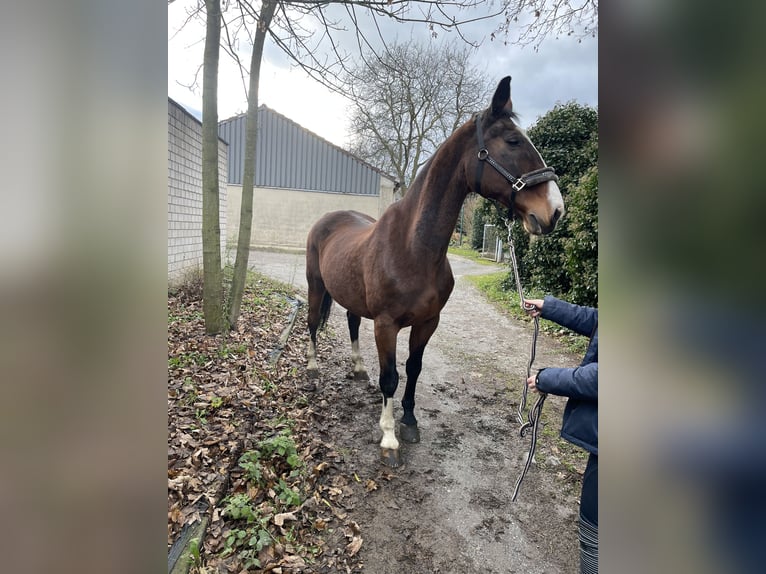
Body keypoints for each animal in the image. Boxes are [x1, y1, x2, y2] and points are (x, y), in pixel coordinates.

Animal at [306, 79, 564, 468]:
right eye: (513, 141)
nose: (555, 211)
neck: (414, 248)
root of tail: (329, 218)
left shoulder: (428, 321)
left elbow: (414, 368)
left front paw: (410, 422)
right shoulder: (386, 325)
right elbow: (390, 378)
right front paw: (389, 439)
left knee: (351, 323)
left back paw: (358, 369)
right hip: (315, 286)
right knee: (310, 323)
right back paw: (311, 367)